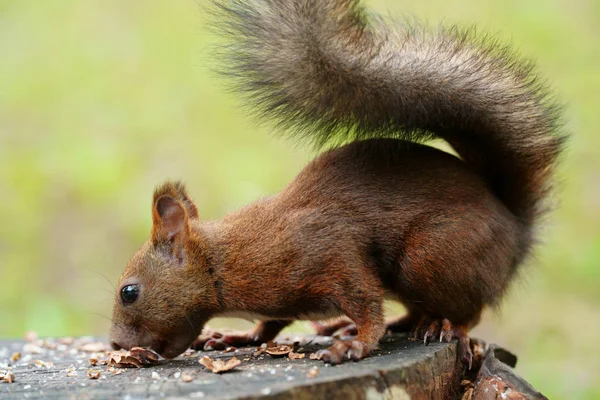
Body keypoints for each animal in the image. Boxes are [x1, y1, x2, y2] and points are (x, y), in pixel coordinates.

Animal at [109, 0, 568, 368]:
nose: (114, 344)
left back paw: (442, 326)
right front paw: (239, 336)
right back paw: (390, 324)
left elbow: (365, 303)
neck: (223, 262)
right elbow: (272, 323)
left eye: (129, 292)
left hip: (430, 257)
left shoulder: (330, 251)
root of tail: (516, 230)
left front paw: (359, 344)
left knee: (470, 311)